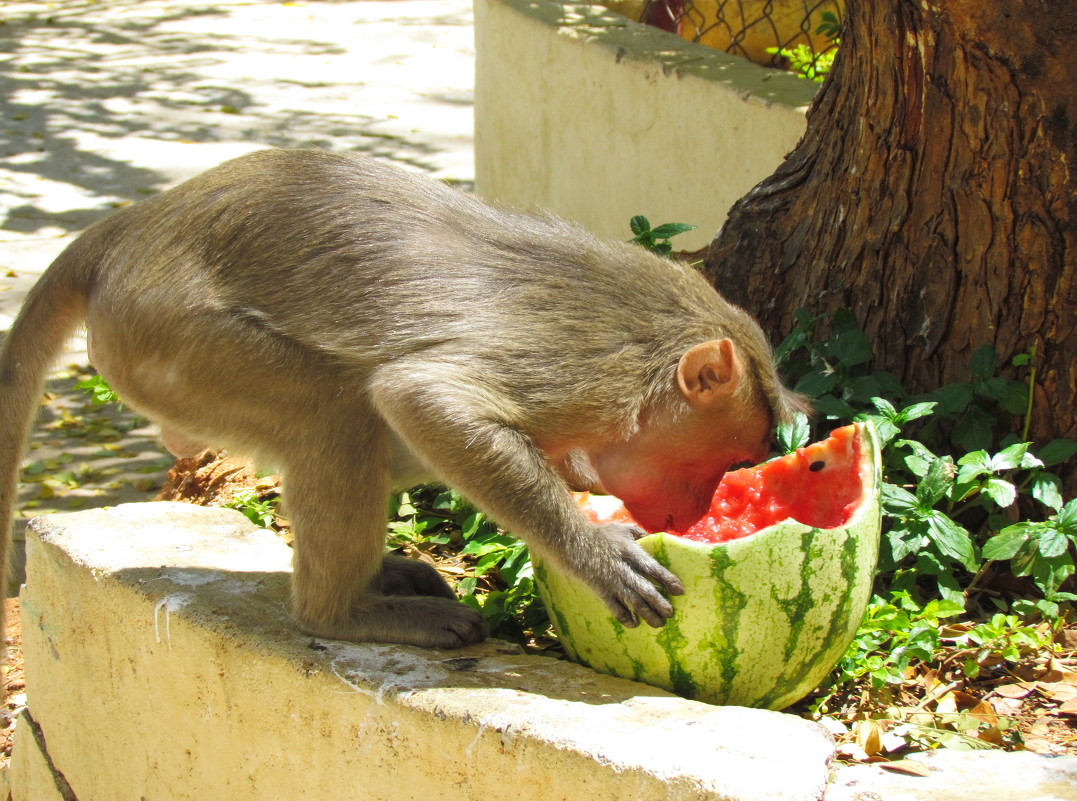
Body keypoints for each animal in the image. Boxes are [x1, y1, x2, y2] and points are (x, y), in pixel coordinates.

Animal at [0, 148, 805, 650]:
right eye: (725, 460)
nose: (694, 514)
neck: (648, 351)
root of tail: (127, 229)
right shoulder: (580, 380)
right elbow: (422, 396)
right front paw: (593, 552)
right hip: (169, 338)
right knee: (341, 409)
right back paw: (341, 614)